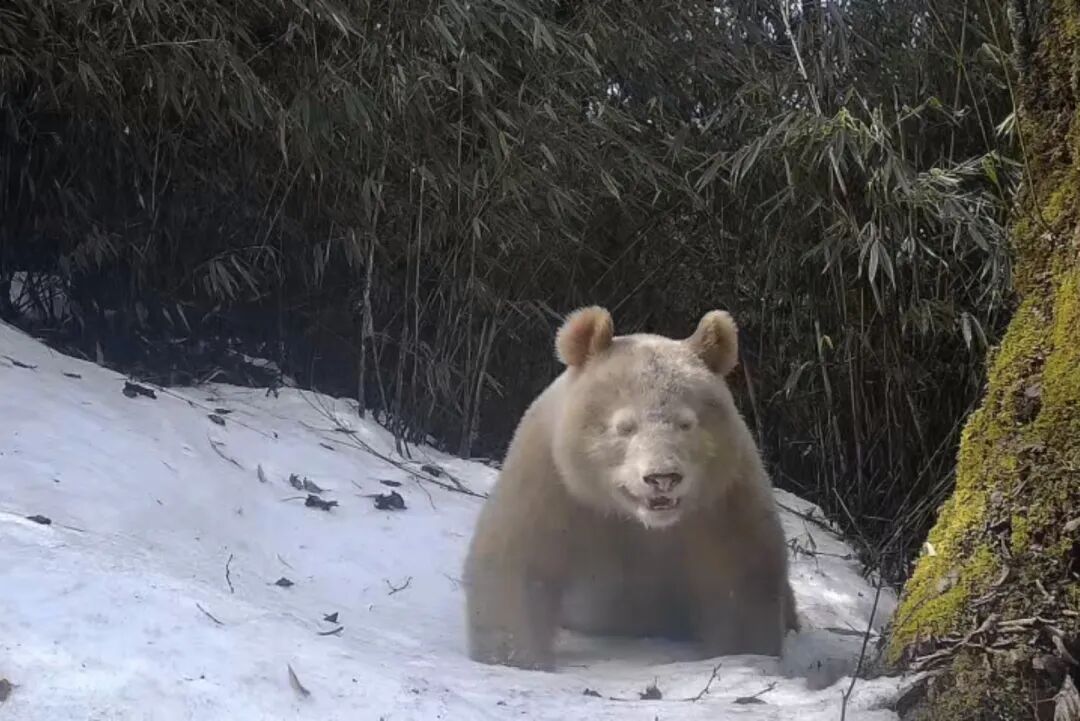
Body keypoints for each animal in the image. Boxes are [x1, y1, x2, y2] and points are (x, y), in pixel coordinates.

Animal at [462, 306, 798, 671]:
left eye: (686, 423)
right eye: (625, 426)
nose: (662, 477)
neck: (636, 517)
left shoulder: (720, 502)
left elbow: (740, 580)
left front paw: (742, 656)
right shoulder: (555, 484)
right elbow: (518, 565)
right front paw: (517, 660)